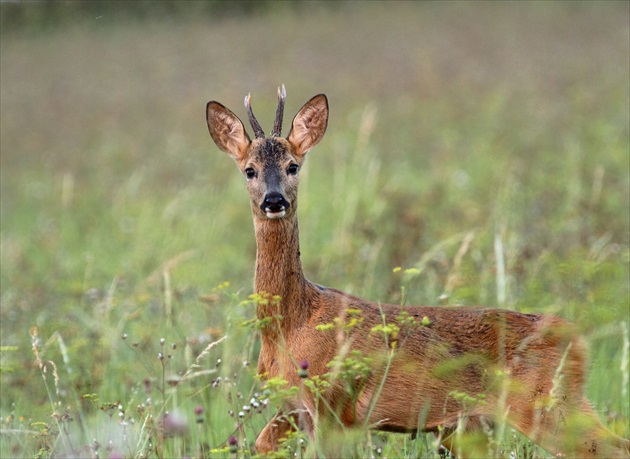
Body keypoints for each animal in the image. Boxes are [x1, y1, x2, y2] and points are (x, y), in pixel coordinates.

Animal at [206, 87, 628, 459]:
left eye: (293, 166)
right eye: (249, 170)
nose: (274, 200)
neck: (292, 322)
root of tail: (576, 338)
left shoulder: (333, 405)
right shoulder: (292, 407)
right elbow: (261, 443)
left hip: (547, 405)